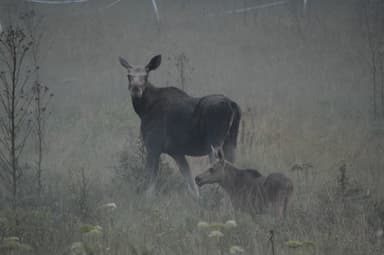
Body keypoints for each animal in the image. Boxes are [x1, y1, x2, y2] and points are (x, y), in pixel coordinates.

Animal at [118, 54, 242, 196]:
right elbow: (190, 182)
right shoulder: (176, 151)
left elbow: (151, 183)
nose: (135, 89)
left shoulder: (153, 145)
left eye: (146, 75)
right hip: (231, 141)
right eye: (129, 75)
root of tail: (232, 105)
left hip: (215, 141)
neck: (144, 109)